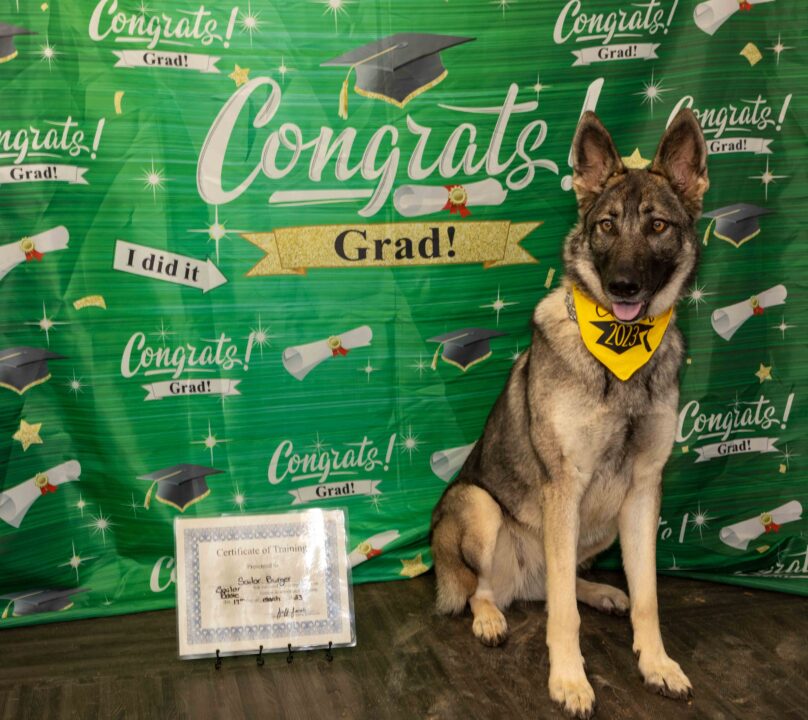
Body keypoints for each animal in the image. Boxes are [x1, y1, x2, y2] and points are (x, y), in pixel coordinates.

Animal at [430, 107, 708, 716]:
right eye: (605, 225)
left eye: (658, 226)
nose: (622, 286)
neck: (620, 354)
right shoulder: (564, 486)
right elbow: (563, 616)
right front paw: (569, 679)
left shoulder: (643, 491)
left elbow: (648, 596)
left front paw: (657, 664)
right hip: (479, 507)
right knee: (490, 589)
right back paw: (490, 617)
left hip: (599, 524)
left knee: (558, 583)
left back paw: (600, 590)